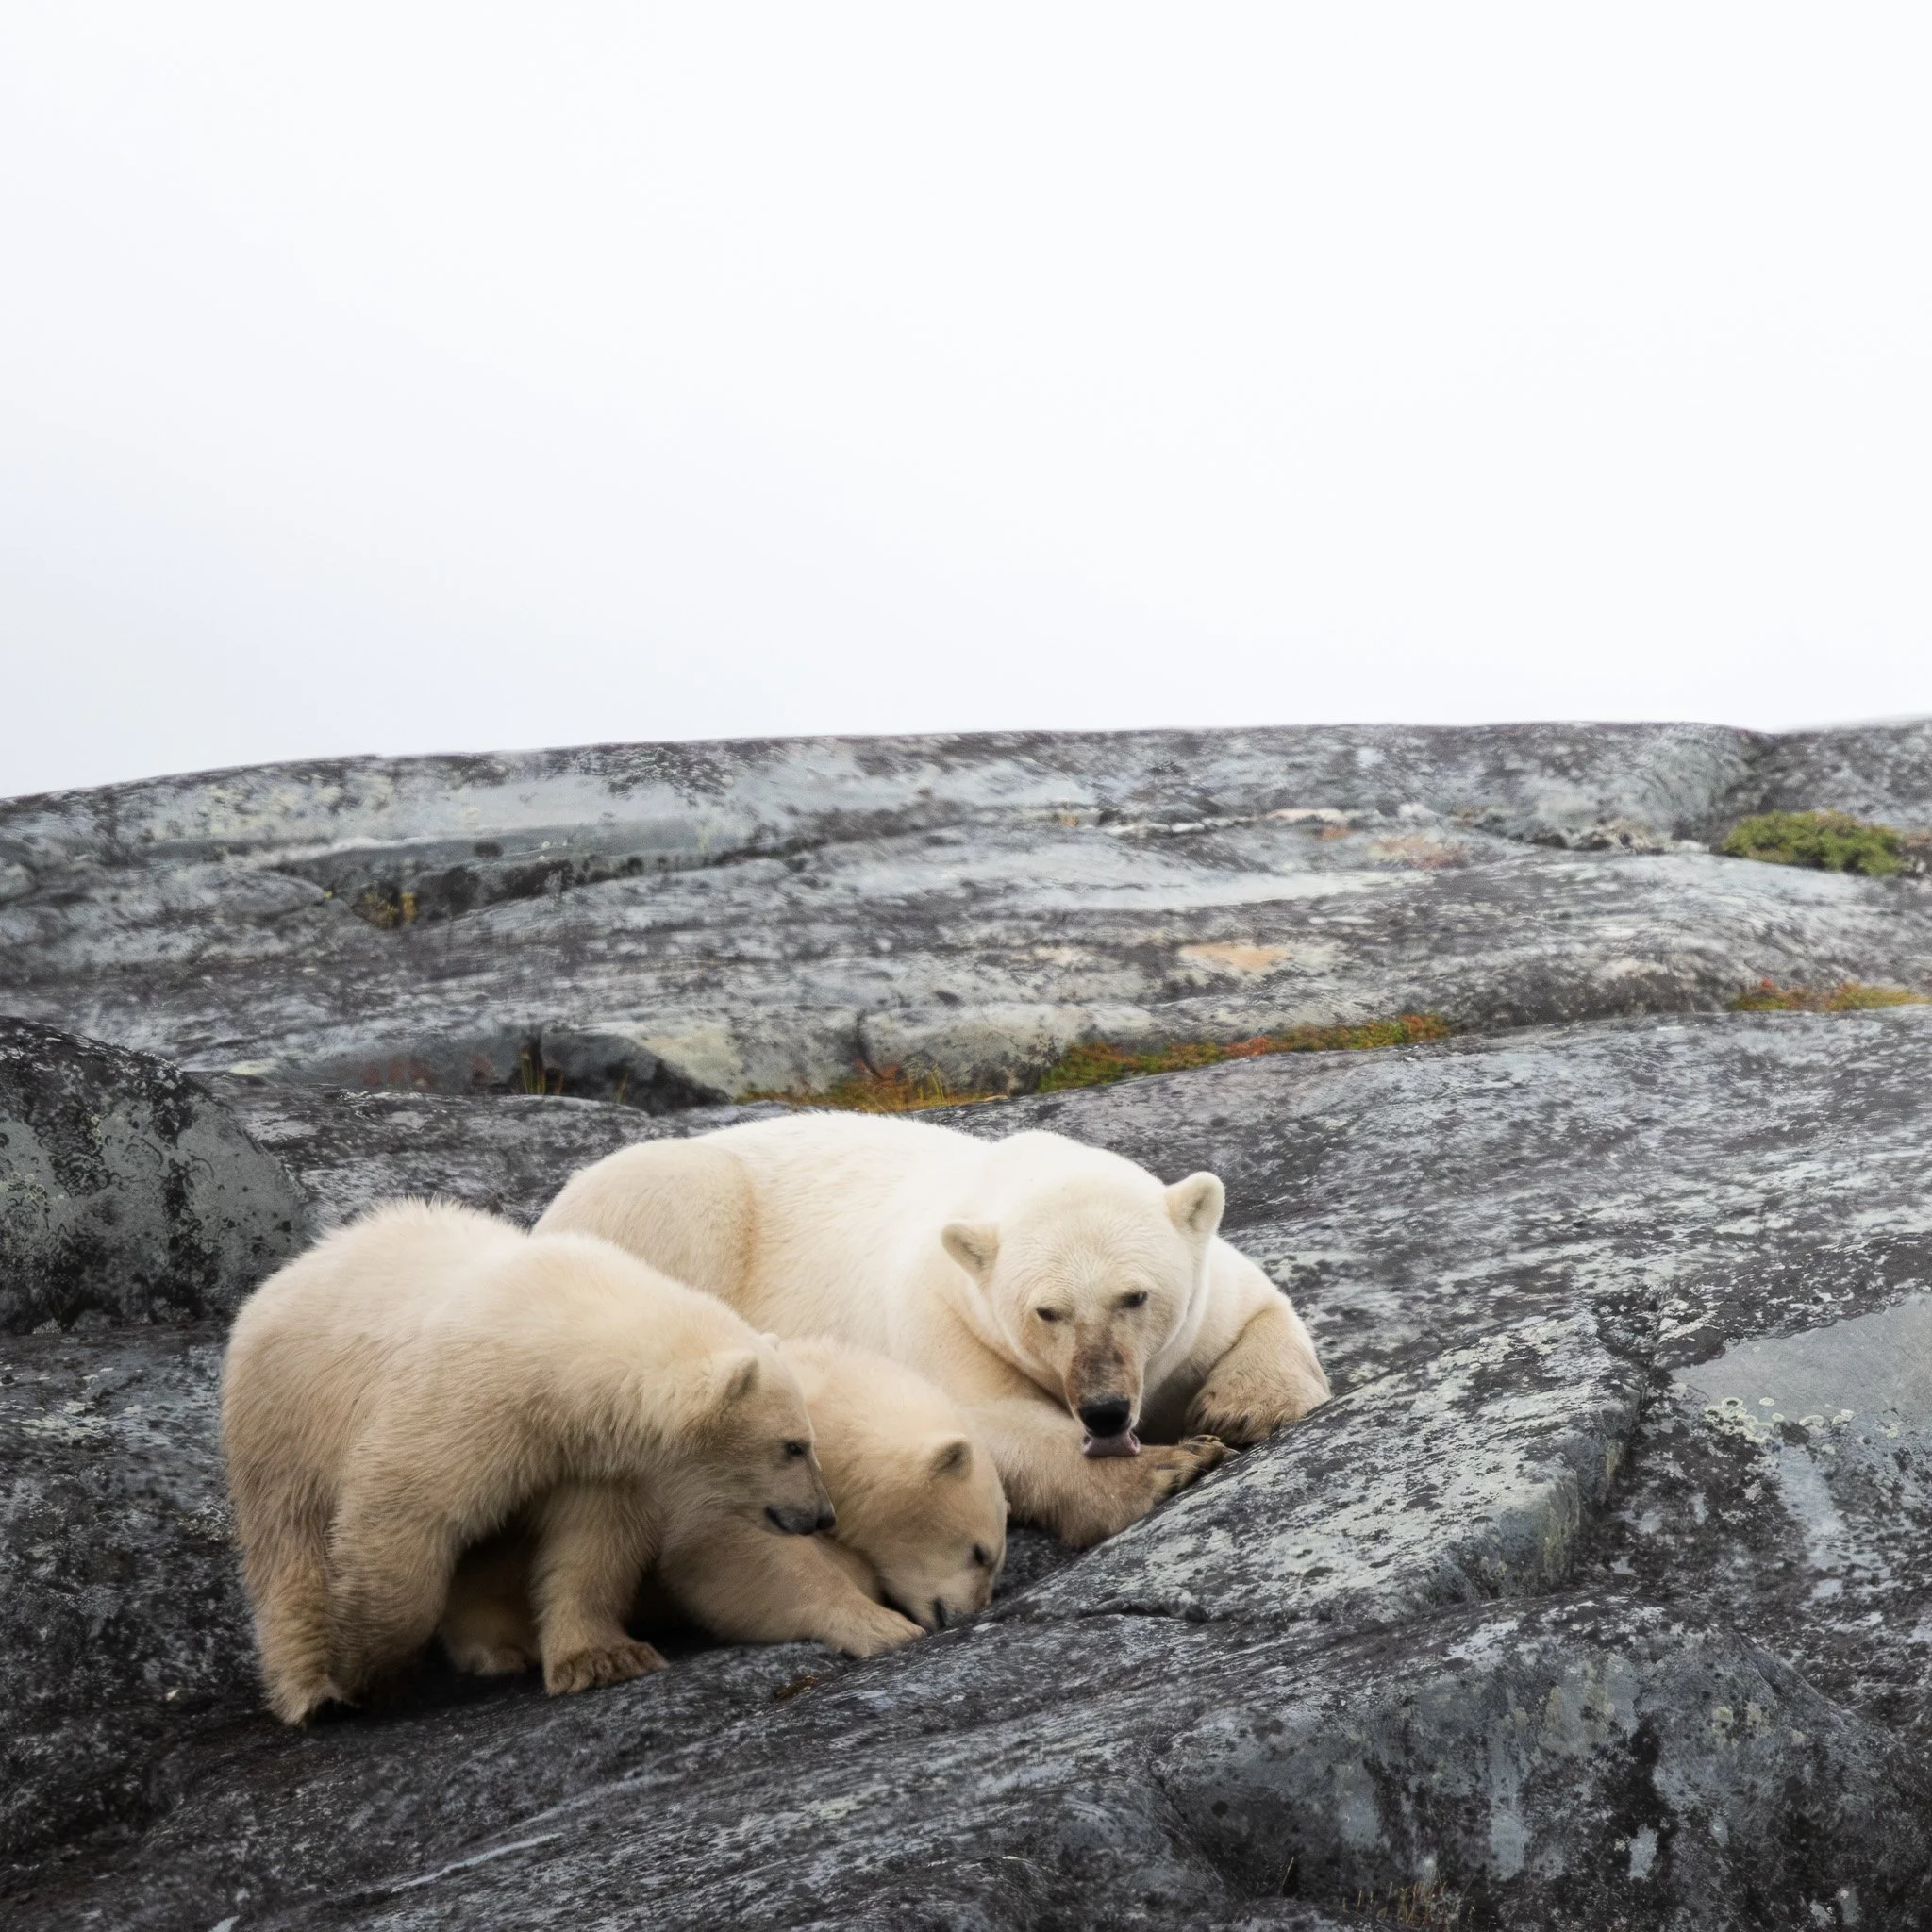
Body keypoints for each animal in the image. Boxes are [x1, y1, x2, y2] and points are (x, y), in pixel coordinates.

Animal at [221, 1198, 834, 1723]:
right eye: (792, 1445)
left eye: (808, 1440)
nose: (823, 1515)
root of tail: (281, 1277)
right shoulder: (464, 1400)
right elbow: (400, 1513)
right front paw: (366, 1674)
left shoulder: (591, 1454)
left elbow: (594, 1545)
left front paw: (603, 1659)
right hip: (287, 1416)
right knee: (290, 1546)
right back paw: (311, 1692)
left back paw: (499, 1645)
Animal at [534, 1114, 1329, 1547]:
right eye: (1046, 1312)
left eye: (1135, 1296)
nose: (1105, 1410)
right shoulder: (945, 1314)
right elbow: (978, 1421)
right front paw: (1167, 1468)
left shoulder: (1203, 1298)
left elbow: (1261, 1310)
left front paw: (1239, 1406)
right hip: (663, 1204)